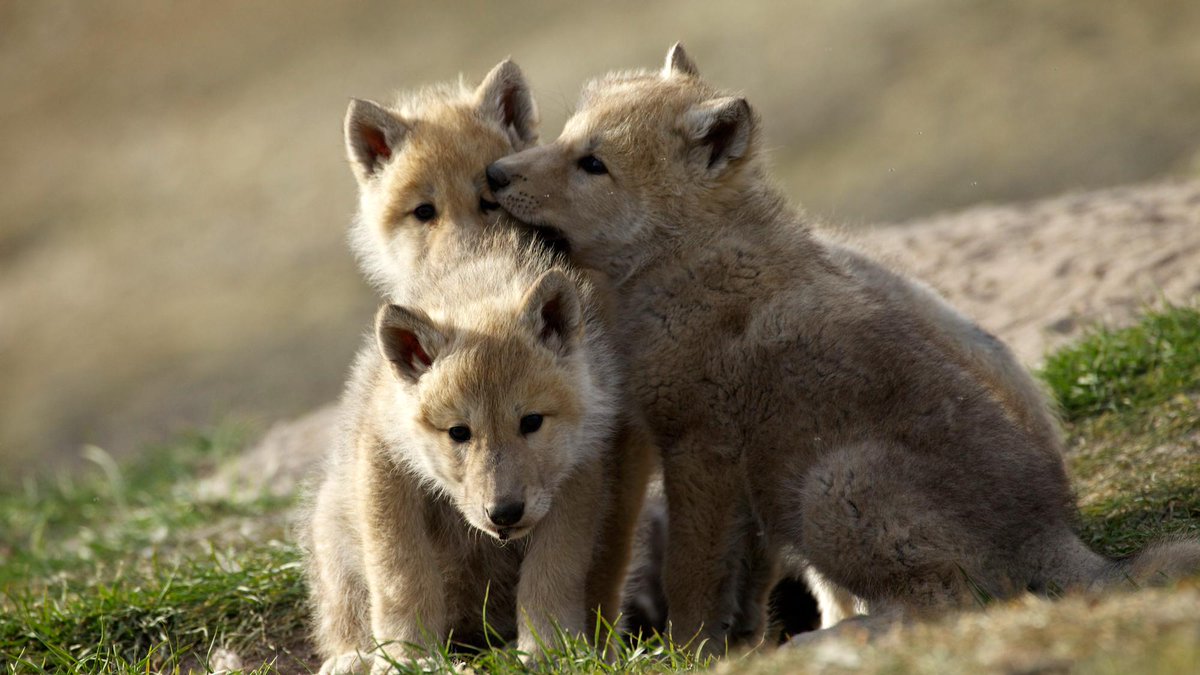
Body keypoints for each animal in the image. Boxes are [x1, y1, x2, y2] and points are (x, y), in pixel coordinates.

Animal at [486, 44, 1200, 650]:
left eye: (593, 164)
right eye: (567, 136)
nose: (493, 174)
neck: (691, 254)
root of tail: (1052, 536)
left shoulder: (700, 449)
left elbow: (692, 576)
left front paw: (690, 652)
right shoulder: (746, 484)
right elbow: (745, 579)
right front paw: (737, 640)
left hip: (834, 486)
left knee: (948, 603)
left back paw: (835, 639)